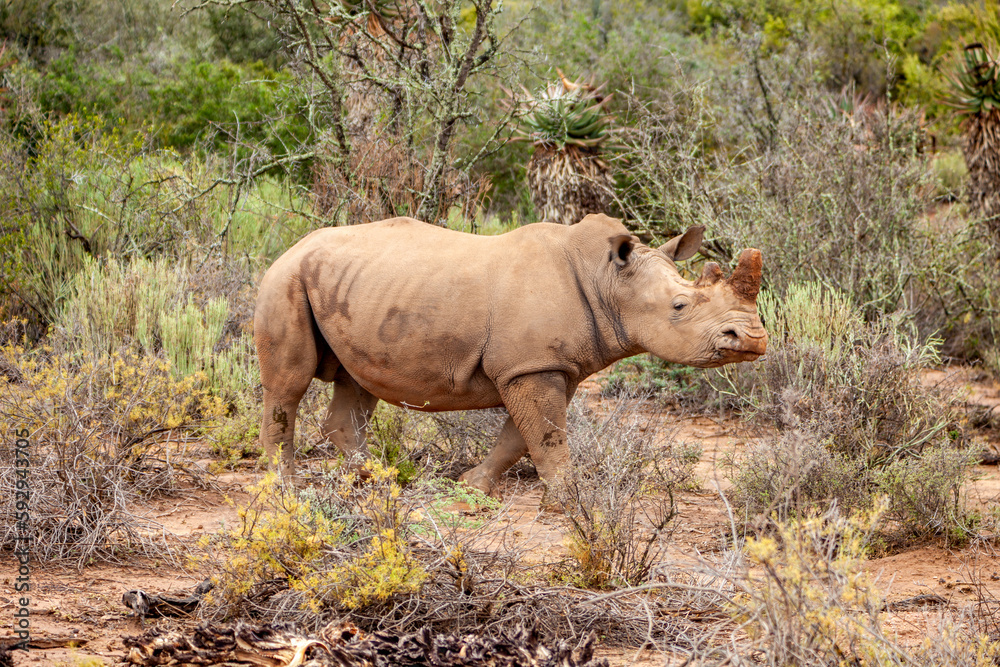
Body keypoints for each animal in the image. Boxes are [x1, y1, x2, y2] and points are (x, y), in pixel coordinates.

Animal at [254, 214, 767, 495]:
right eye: (680, 306)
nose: (755, 340)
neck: (608, 280)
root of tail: (292, 246)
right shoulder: (531, 368)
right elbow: (546, 435)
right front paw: (571, 502)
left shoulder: (550, 366)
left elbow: (521, 436)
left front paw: (472, 486)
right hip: (285, 280)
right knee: (289, 386)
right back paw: (285, 488)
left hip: (351, 288)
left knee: (358, 382)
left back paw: (381, 479)